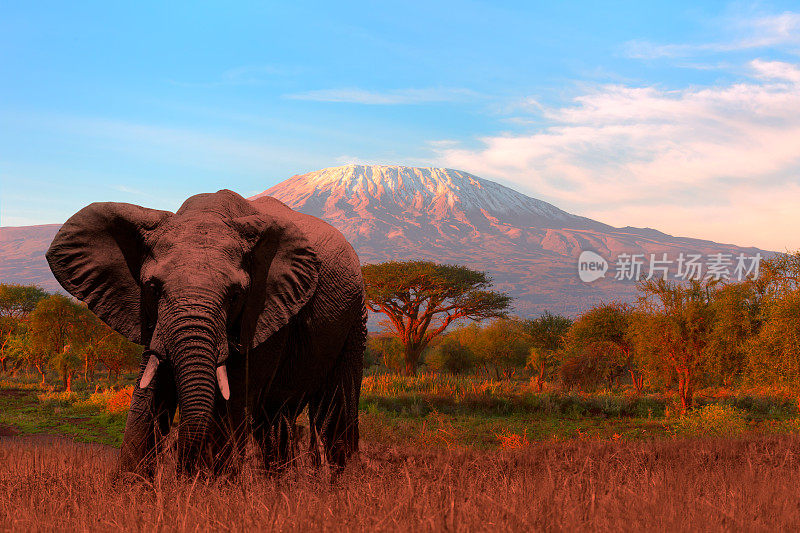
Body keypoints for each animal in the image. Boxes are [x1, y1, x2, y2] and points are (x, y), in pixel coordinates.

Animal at [47, 188, 366, 474]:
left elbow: (232, 400)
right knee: (276, 419)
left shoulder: (266, 312)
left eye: (235, 295)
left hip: (354, 313)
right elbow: (149, 395)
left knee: (334, 411)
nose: (179, 469)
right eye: (153, 288)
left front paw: (208, 490)